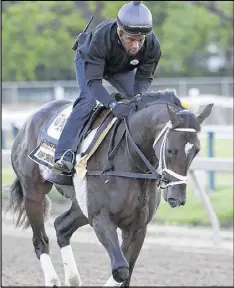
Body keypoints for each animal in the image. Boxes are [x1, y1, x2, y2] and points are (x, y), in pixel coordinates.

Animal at [6, 89, 213, 286]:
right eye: (170, 150)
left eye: (196, 150)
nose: (177, 198)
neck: (131, 160)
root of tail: (30, 119)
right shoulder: (101, 219)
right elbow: (121, 270)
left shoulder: (137, 227)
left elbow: (127, 272)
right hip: (33, 192)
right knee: (40, 240)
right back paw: (53, 281)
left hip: (81, 205)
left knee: (61, 226)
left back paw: (72, 279)